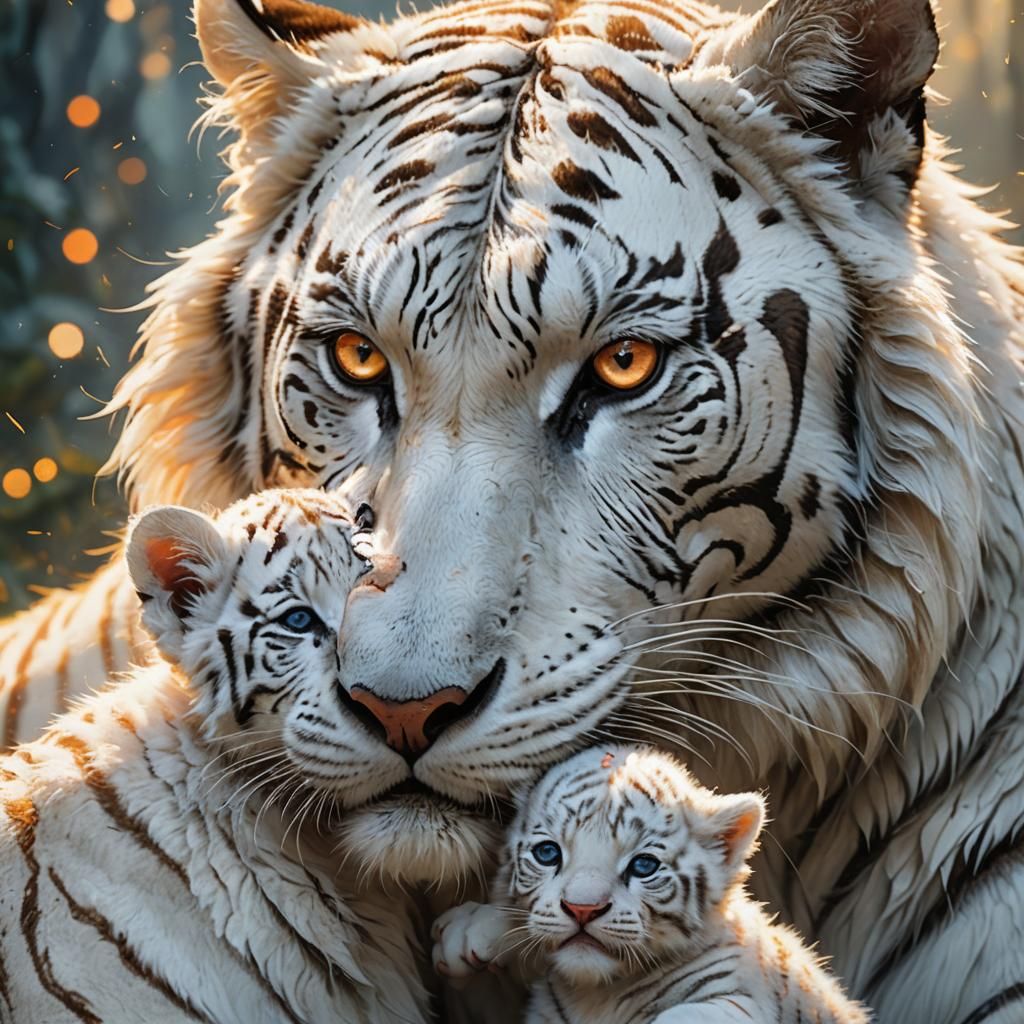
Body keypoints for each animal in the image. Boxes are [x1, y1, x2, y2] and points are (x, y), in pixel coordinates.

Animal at [432, 746, 868, 1024]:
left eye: (644, 865)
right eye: (547, 853)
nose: (582, 909)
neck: (597, 994)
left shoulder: (738, 999)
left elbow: (682, 1014)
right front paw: (468, 931)